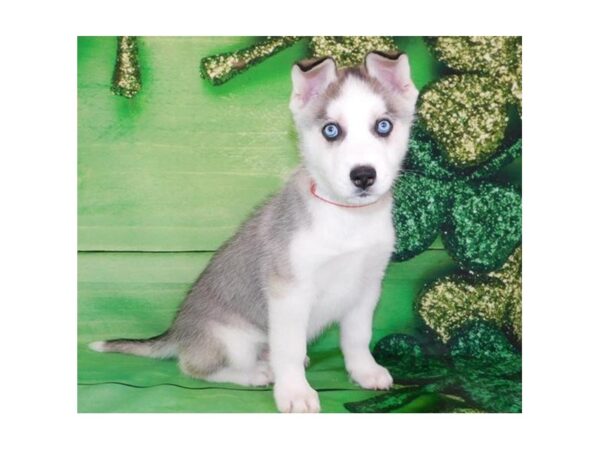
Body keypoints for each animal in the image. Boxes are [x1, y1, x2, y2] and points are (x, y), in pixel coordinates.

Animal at [91, 51, 420, 414]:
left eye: (383, 126)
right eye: (331, 130)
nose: (363, 176)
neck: (346, 219)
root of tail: (177, 332)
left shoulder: (366, 287)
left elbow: (357, 338)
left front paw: (365, 372)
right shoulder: (289, 292)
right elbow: (289, 349)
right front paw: (295, 392)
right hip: (230, 338)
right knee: (196, 367)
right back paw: (256, 373)